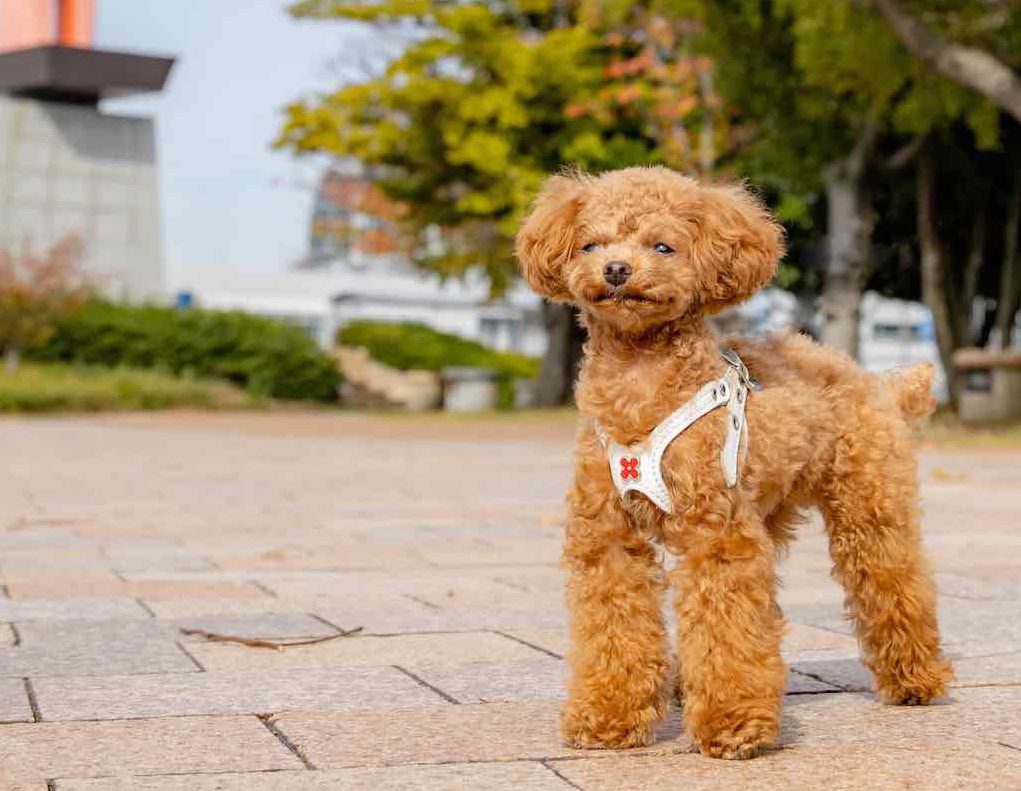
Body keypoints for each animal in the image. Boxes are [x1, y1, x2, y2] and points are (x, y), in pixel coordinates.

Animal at [514, 167, 951, 759]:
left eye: (662, 246)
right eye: (591, 245)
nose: (616, 269)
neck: (639, 379)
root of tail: (870, 377)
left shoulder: (716, 533)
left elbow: (724, 621)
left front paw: (732, 723)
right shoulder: (606, 536)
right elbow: (615, 625)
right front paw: (608, 716)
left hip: (868, 506)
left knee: (893, 580)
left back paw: (915, 678)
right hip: (767, 506)